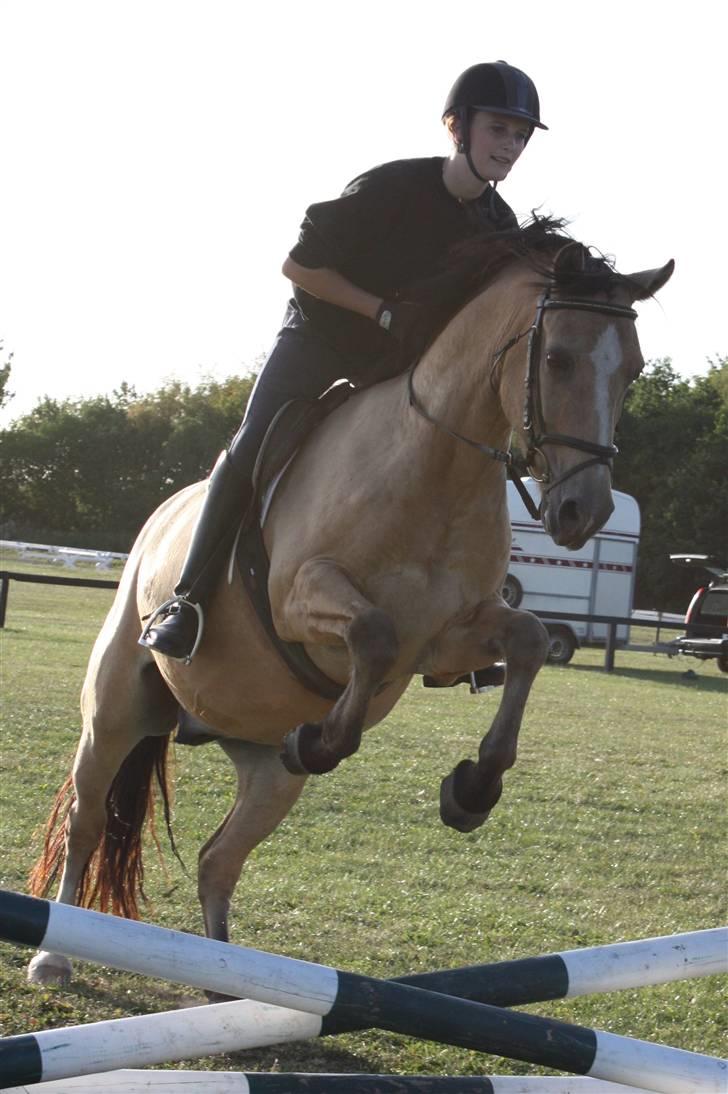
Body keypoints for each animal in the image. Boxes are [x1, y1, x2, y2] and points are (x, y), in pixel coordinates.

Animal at [29, 219, 674, 984]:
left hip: (263, 769)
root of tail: (159, 519)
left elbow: (527, 641)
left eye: (632, 368)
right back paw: (52, 956)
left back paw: (232, 979)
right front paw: (324, 739)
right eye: (559, 358)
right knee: (88, 821)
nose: (583, 512)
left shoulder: (449, 639)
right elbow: (371, 633)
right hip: (116, 712)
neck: (434, 467)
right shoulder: (300, 600)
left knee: (219, 859)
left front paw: (472, 790)